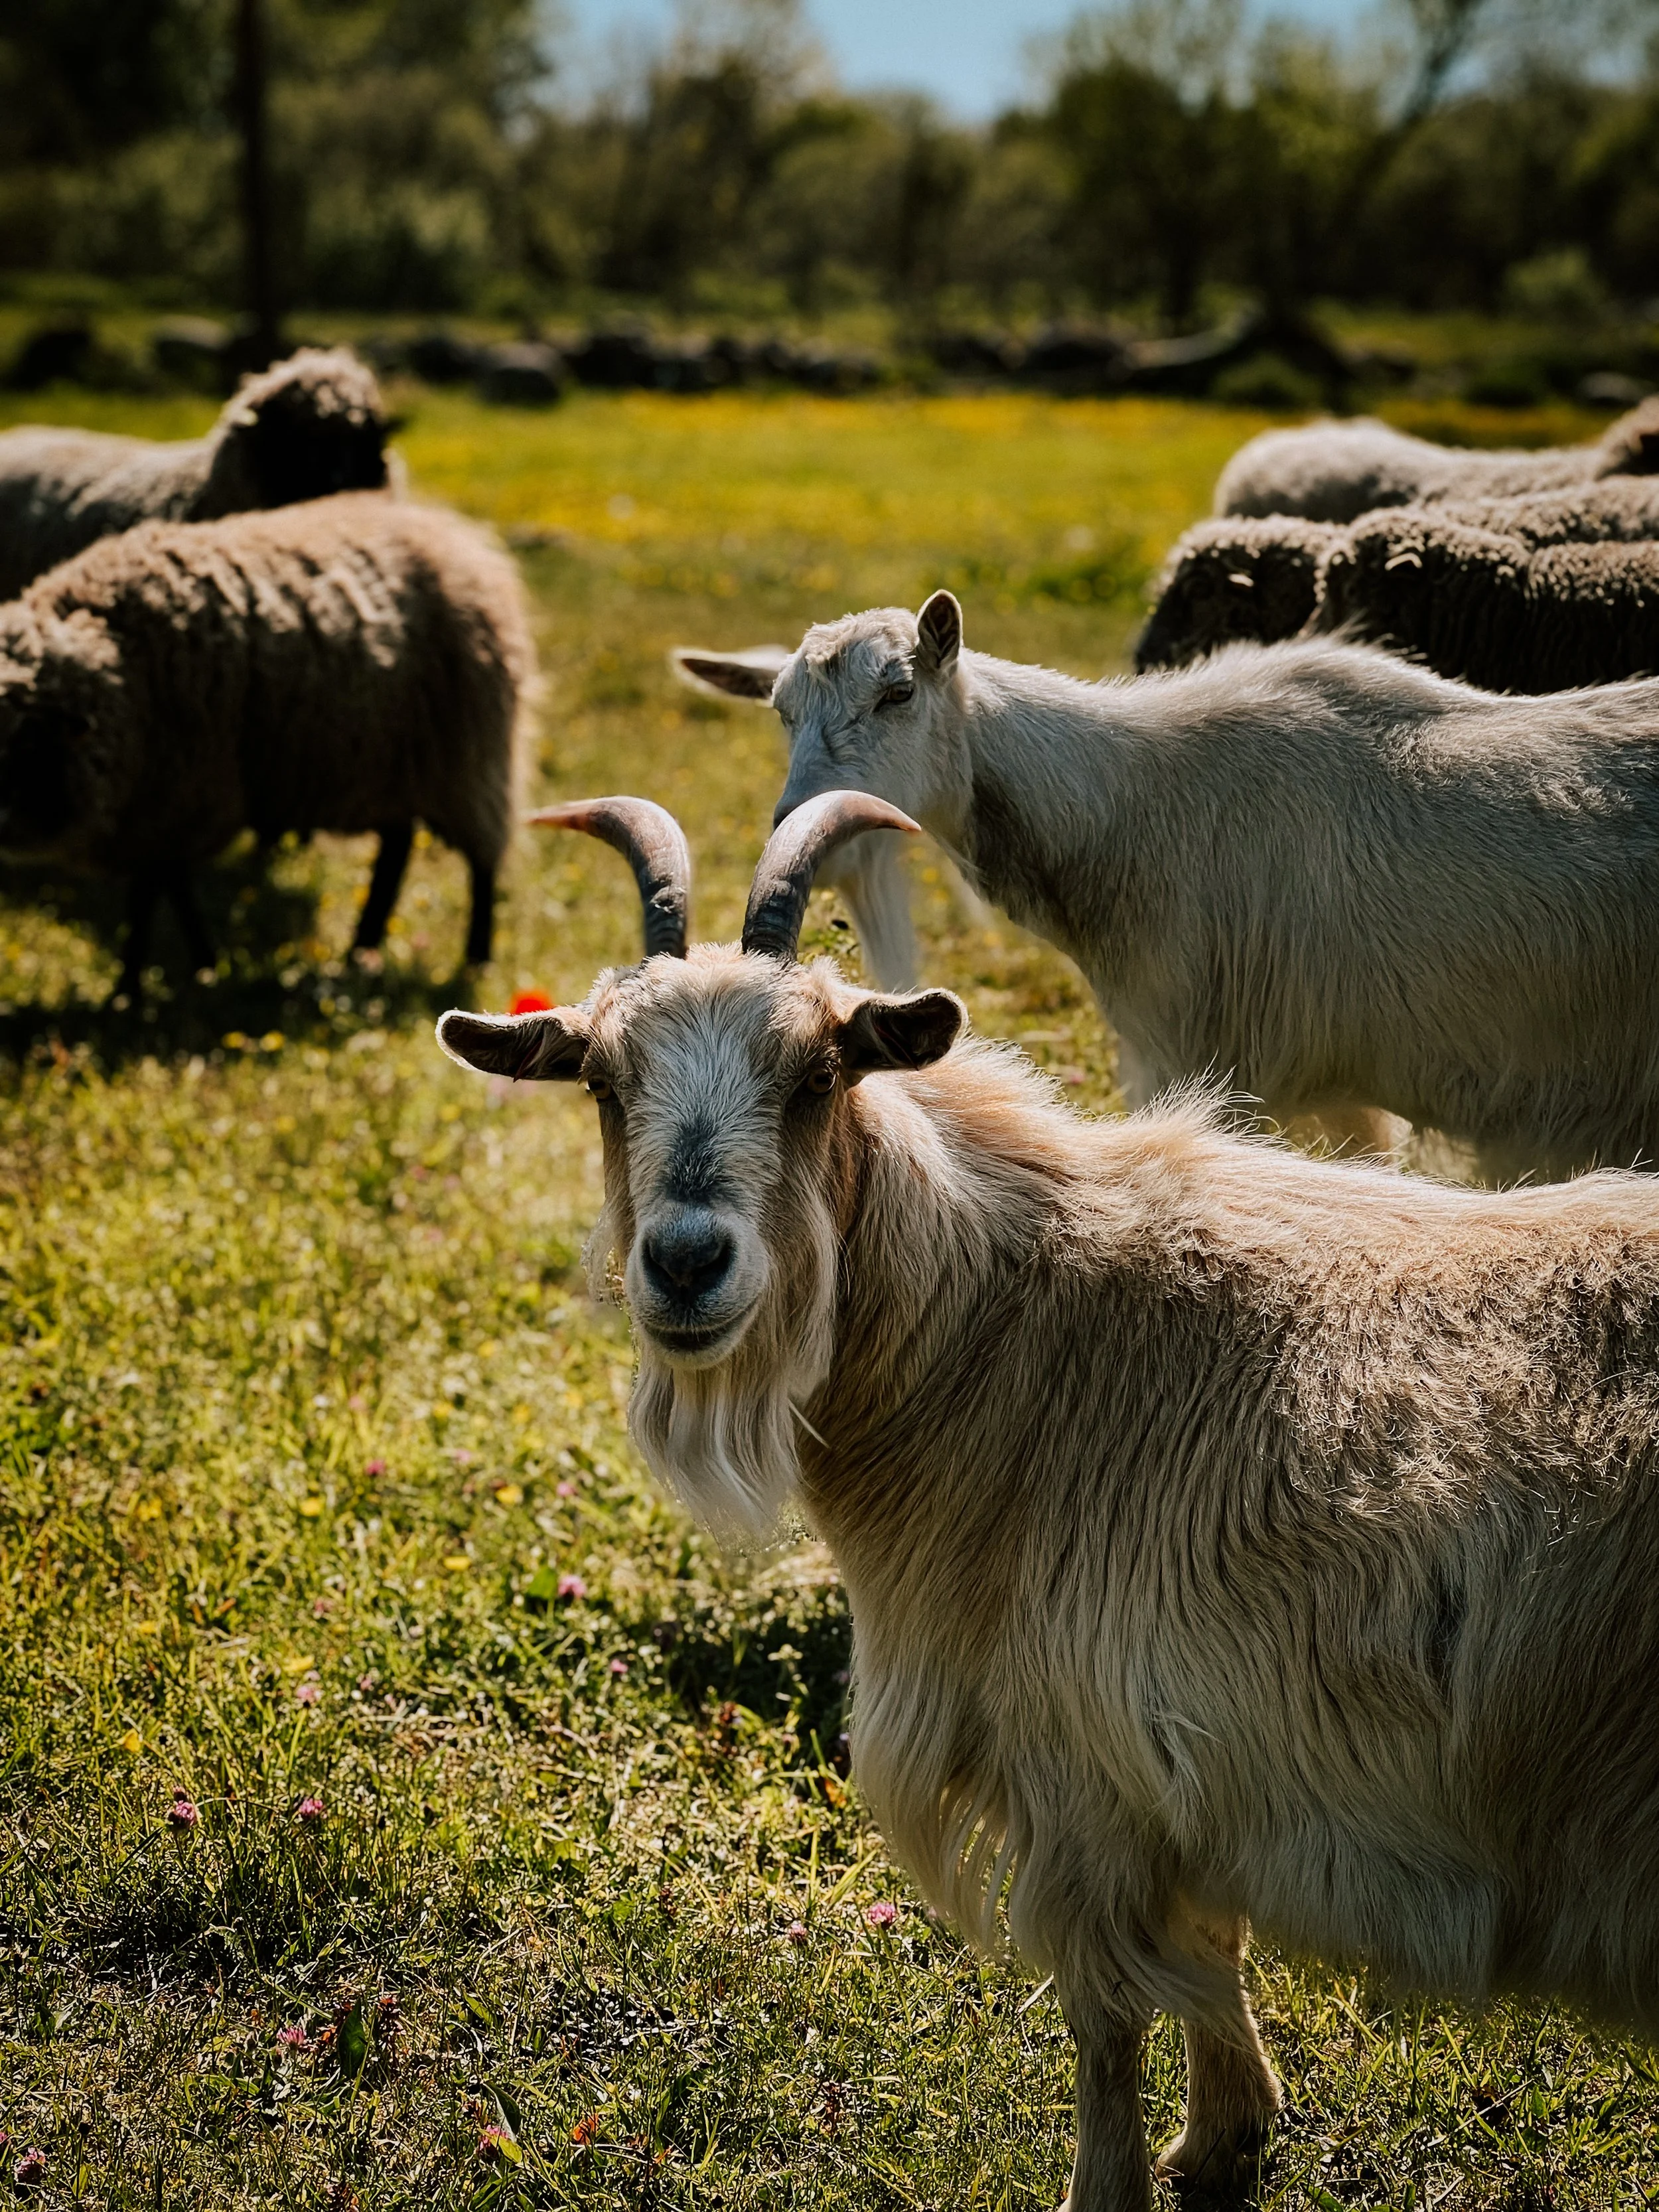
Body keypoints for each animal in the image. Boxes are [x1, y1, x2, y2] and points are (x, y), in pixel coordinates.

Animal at [437, 789, 1659, 2208]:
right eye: (602, 1080)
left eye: (817, 1075)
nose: (688, 1262)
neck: (1013, 1335)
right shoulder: (1184, 1768)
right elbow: (1211, 1946)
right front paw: (1229, 2135)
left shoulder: (1081, 1765)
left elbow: (1108, 2014)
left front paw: (1117, 2179)